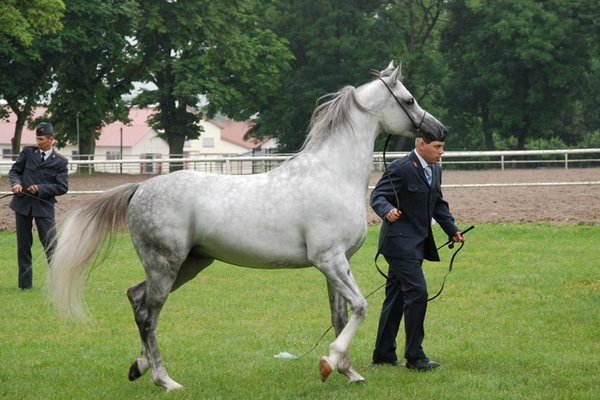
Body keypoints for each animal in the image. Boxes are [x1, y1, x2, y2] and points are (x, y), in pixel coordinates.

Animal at [49, 62, 448, 390]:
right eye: (409, 100)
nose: (438, 130)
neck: (332, 173)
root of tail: (141, 188)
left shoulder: (338, 264)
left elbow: (339, 314)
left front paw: (348, 372)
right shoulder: (329, 260)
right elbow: (361, 307)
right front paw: (329, 361)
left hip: (189, 264)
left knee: (136, 298)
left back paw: (139, 366)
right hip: (166, 265)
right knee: (149, 312)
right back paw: (165, 379)